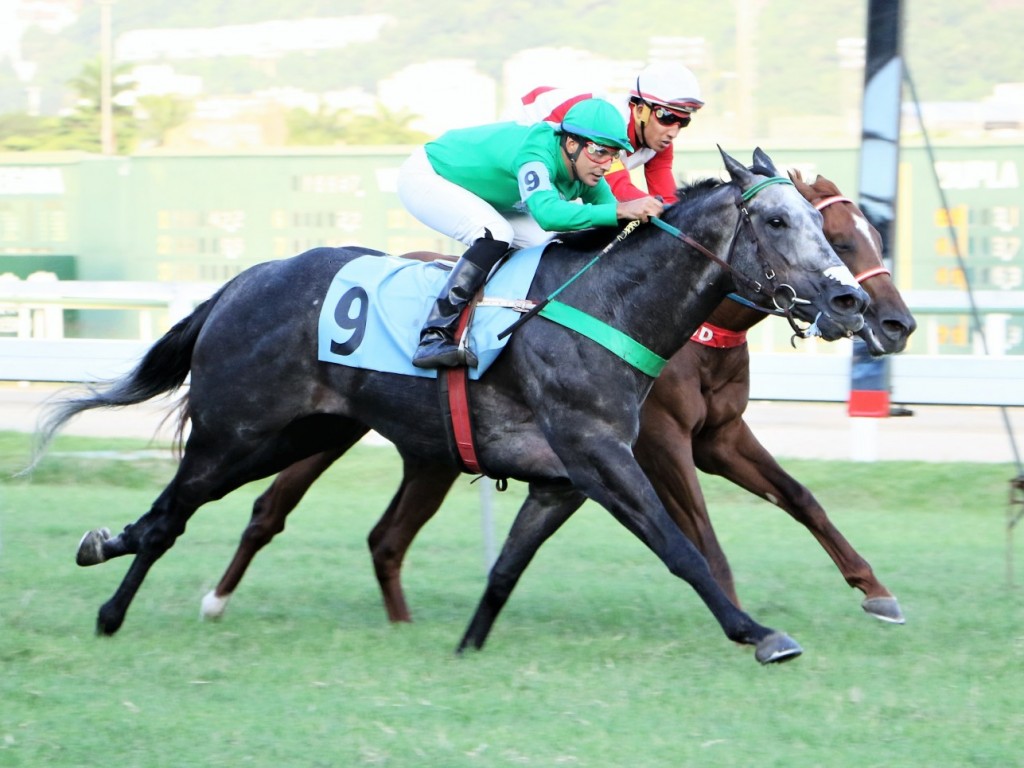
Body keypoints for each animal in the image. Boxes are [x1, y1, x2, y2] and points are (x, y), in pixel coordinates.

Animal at [199, 171, 913, 626]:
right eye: (834, 236)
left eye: (873, 235)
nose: (886, 320)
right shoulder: (656, 443)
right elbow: (701, 532)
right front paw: (740, 616)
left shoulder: (719, 437)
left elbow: (800, 497)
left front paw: (875, 591)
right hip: (317, 427)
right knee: (269, 507)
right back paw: (215, 600)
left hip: (428, 451)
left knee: (387, 538)